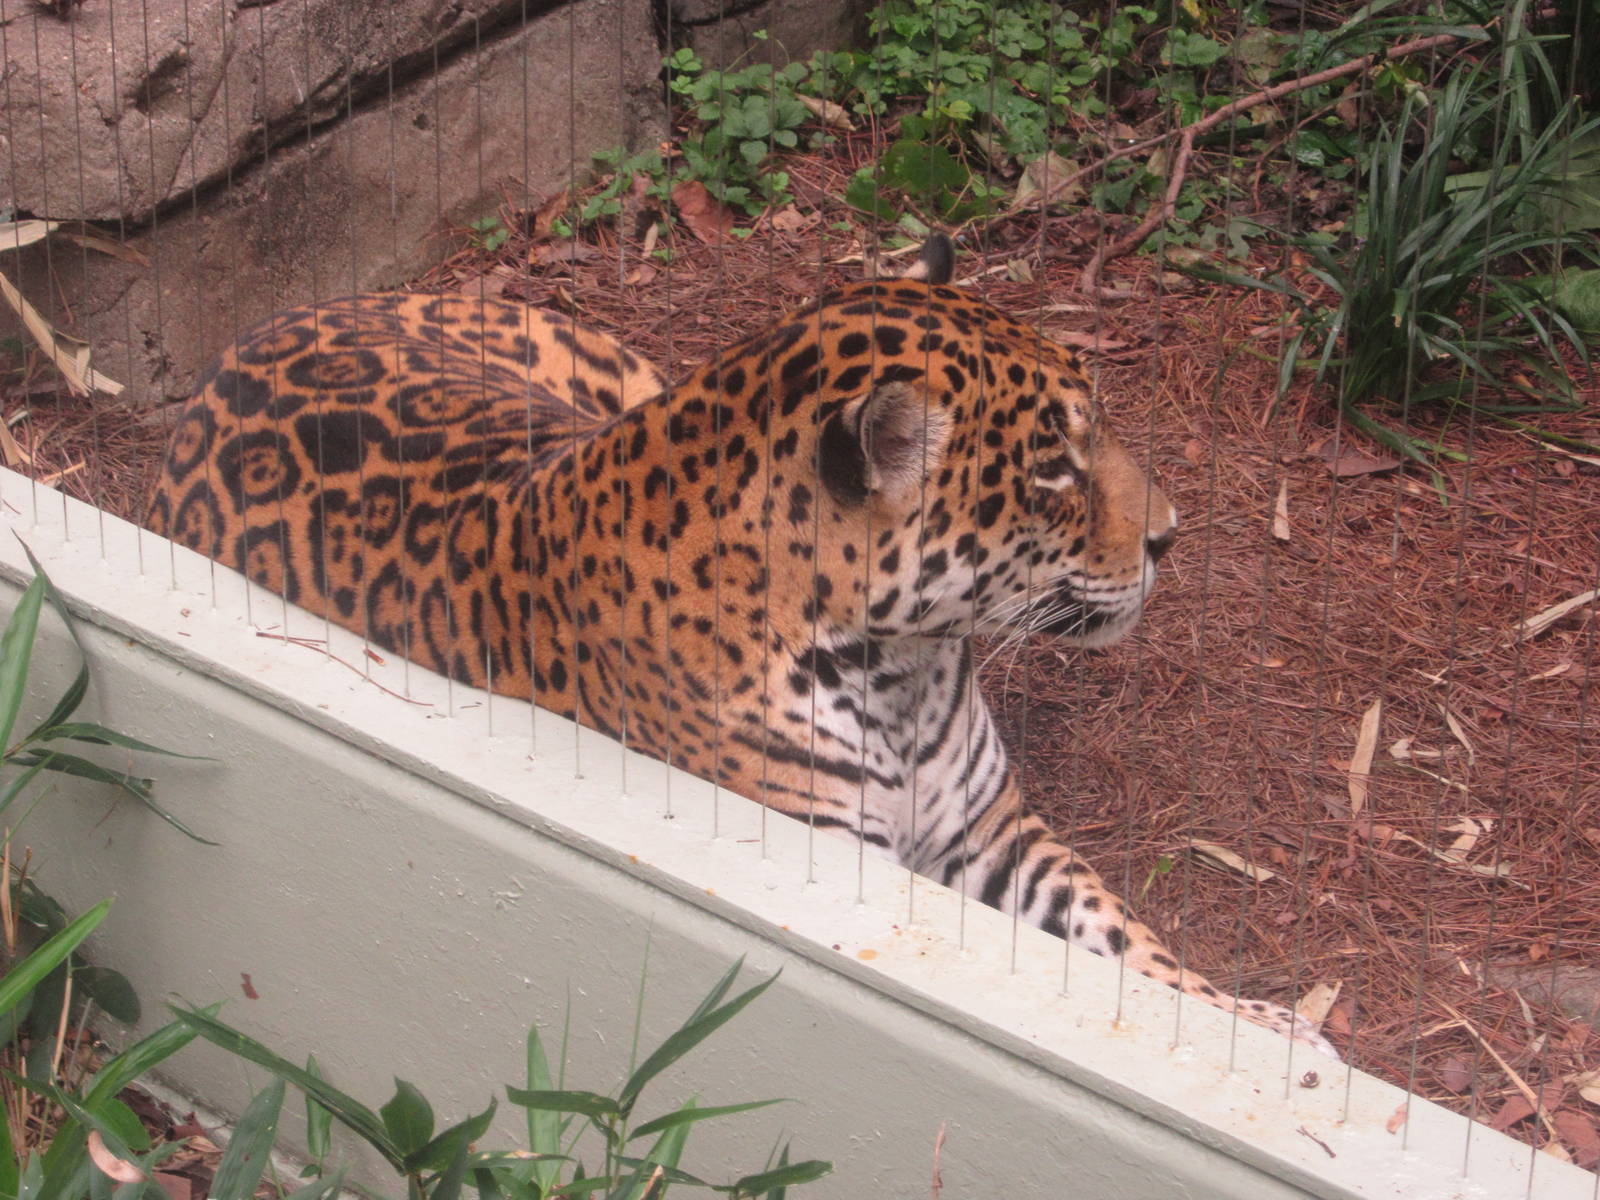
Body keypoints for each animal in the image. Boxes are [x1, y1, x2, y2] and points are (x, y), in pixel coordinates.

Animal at [148, 237, 1335, 1056]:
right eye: (1052, 469)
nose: (1170, 535)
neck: (901, 665)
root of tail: (263, 324)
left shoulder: (993, 829)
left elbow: (1129, 947)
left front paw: (1262, 1029)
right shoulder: (839, 863)